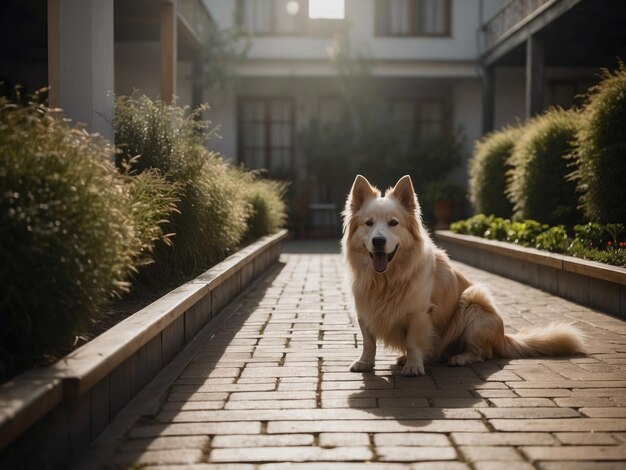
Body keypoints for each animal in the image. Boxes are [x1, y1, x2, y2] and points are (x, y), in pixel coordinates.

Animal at [338, 174, 584, 376]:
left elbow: (413, 341)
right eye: (369, 223)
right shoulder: (364, 310)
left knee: (483, 352)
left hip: (474, 300)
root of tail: (504, 337)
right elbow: (368, 342)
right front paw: (365, 363)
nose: (378, 241)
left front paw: (414, 366)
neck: (386, 279)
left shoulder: (420, 313)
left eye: (393, 223)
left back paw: (459, 358)